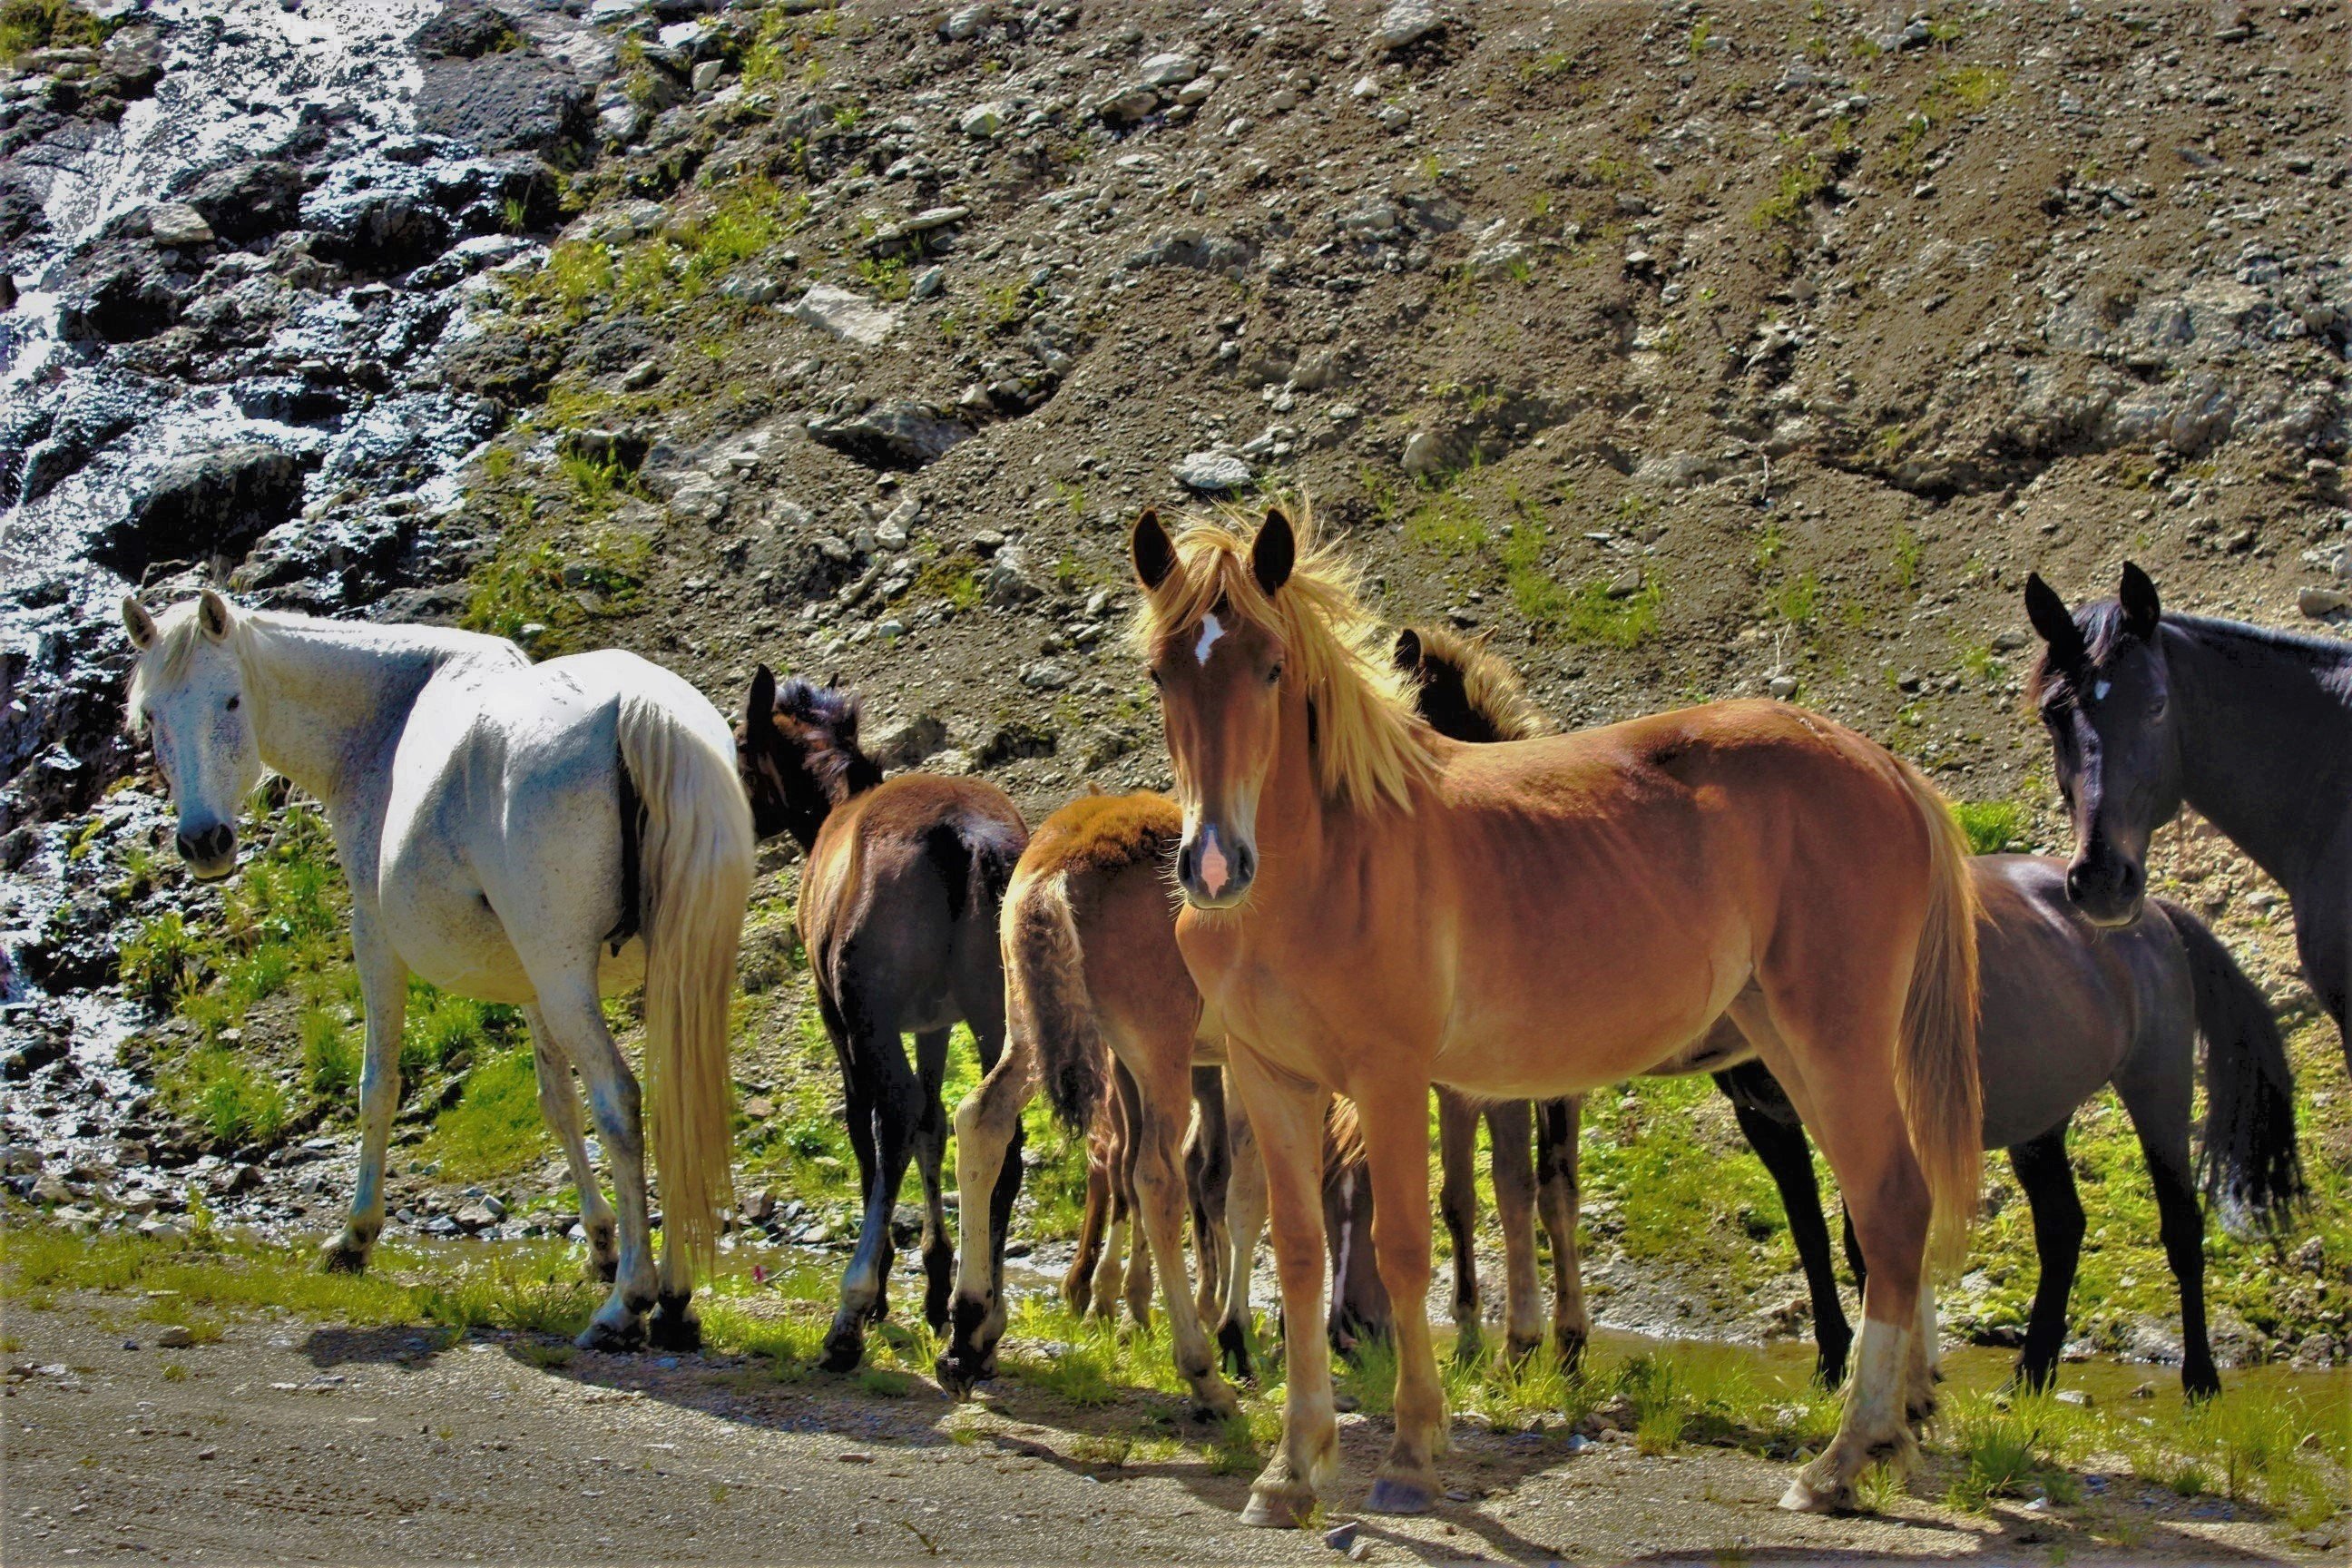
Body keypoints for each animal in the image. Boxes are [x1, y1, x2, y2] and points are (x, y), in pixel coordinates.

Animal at [122, 587, 752, 1354]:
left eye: (231, 700)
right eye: (152, 715)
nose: (203, 842)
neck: (384, 722)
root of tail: (636, 708)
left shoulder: (376, 939)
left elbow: (378, 1086)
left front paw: (355, 1238)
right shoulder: (530, 983)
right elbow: (557, 1102)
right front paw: (600, 1241)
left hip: (567, 976)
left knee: (621, 1102)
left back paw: (628, 1303)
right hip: (652, 976)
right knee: (674, 1102)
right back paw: (674, 1298)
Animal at [738, 667, 1025, 1363]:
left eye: (739, 746)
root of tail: (967, 837)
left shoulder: (841, 1016)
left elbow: (866, 1128)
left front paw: (890, 1287)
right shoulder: (935, 1024)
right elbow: (932, 1125)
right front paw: (937, 1280)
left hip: (870, 1016)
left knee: (889, 1119)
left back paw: (854, 1309)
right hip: (996, 1019)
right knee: (997, 1131)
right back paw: (980, 1323)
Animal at [1129, 503, 1975, 1523]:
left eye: (1270, 666)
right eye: (1162, 672)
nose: (1214, 866)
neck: (1327, 863)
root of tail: (1888, 769)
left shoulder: (1392, 1078)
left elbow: (1407, 1245)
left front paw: (1415, 1447)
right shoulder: (1271, 1079)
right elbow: (1297, 1255)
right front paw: (1293, 1470)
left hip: (1835, 1045)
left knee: (1889, 1211)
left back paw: (1843, 1459)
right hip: (1791, 1047)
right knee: (1882, 1213)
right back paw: (1884, 1436)